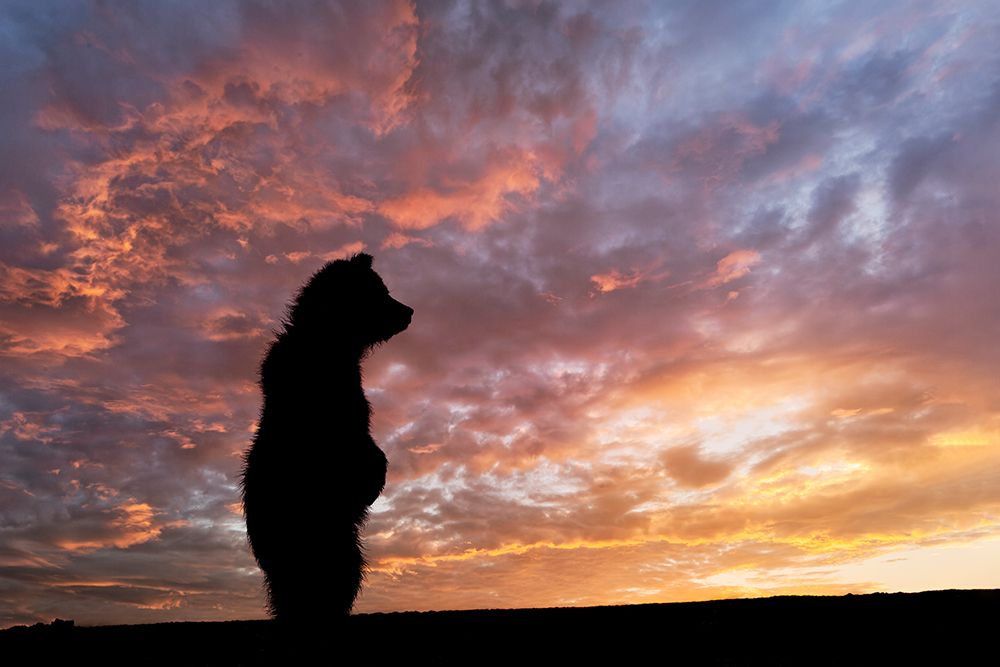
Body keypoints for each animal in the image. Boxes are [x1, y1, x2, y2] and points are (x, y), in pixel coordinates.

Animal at [240, 252, 413, 623]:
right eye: (380, 292)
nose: (409, 310)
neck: (329, 339)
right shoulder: (333, 404)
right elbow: (361, 442)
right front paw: (375, 479)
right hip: (321, 533)